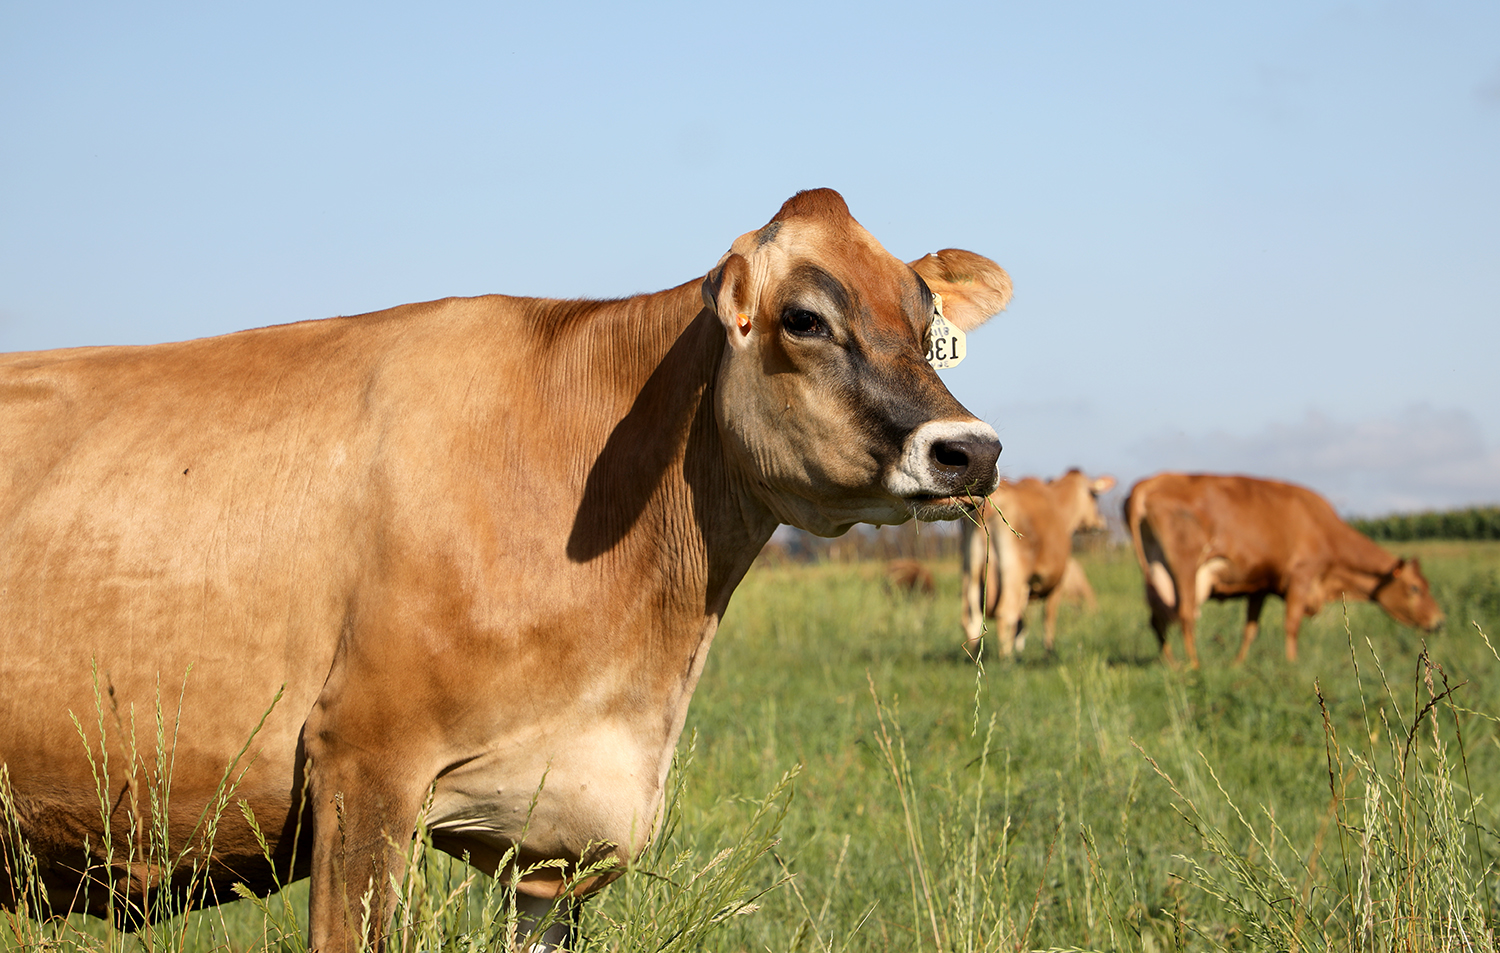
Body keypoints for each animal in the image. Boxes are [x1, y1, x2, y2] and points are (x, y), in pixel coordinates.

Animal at [960, 468, 1116, 657]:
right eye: (1094, 496)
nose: (1100, 523)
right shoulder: (1056, 583)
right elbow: (1048, 618)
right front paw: (1049, 651)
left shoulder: (1027, 586)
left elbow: (1022, 622)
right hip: (1013, 573)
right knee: (1006, 614)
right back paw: (1006, 658)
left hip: (970, 571)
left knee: (971, 618)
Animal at [1128, 474, 1440, 666]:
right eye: (1415, 587)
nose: (1439, 621)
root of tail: (1151, 481)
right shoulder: (1301, 577)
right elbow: (1291, 625)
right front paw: (1292, 663)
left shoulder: (1259, 585)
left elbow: (1250, 629)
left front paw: (1237, 664)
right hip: (1186, 570)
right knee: (1184, 616)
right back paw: (1193, 665)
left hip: (1156, 575)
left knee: (1158, 619)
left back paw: (1171, 663)